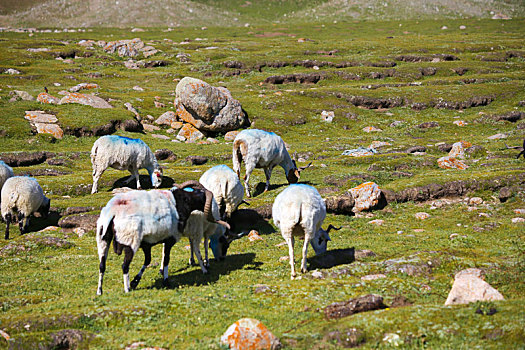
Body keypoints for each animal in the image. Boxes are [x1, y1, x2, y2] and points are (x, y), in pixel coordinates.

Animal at [96, 182, 227, 294]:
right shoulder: (170, 239)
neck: (181, 202)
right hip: (130, 242)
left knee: (102, 265)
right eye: (203, 196)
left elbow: (148, 260)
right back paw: (127, 289)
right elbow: (166, 259)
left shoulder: (147, 243)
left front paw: (135, 281)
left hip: (103, 239)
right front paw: (166, 281)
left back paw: (99, 291)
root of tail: (113, 212)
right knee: (124, 266)